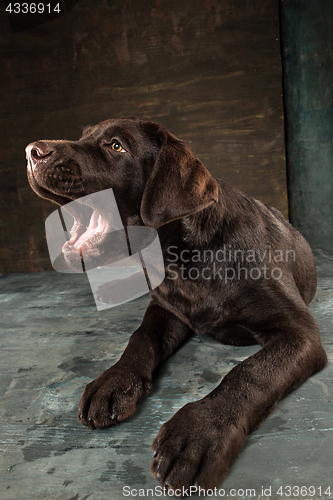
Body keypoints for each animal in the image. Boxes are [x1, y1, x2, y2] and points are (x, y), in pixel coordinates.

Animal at [25, 116, 324, 492]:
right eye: (83, 136)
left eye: (116, 146)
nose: (31, 151)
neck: (185, 258)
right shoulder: (167, 308)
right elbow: (140, 337)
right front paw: (114, 378)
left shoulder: (299, 330)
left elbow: (250, 373)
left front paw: (199, 431)